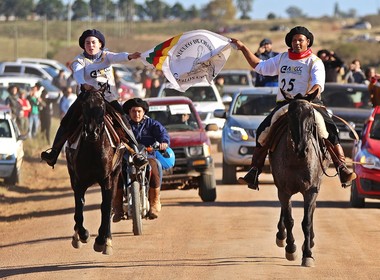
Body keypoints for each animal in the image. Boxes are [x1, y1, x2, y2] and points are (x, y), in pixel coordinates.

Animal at [64, 89, 124, 254]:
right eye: (84, 105)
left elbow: (105, 207)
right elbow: (79, 207)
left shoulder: (107, 179)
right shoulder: (78, 181)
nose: (92, 132)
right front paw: (82, 235)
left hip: (115, 175)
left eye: (102, 105)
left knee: (109, 206)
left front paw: (101, 240)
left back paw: (107, 240)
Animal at [268, 89, 330, 266]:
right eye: (289, 115)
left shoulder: (311, 190)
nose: (302, 148)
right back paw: (281, 236)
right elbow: (289, 219)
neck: (298, 159)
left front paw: (307, 254)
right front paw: (291, 248)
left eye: (310, 114)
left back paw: (310, 241)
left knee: (312, 209)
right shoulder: (283, 190)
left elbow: (306, 221)